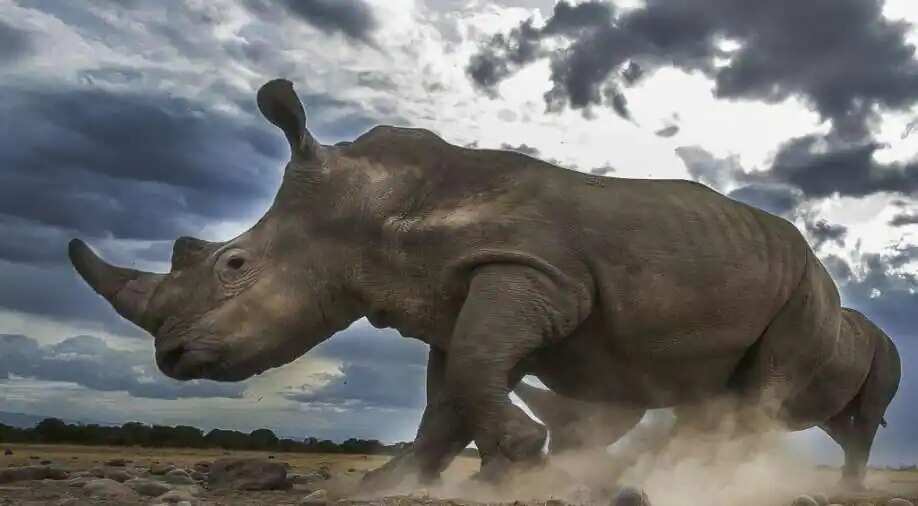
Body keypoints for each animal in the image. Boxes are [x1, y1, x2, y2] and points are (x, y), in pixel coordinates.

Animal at [69, 79, 899, 490]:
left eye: (233, 266)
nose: (170, 358)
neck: (369, 205)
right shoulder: (444, 298)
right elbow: (447, 396)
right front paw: (392, 484)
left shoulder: (534, 270)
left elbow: (473, 368)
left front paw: (524, 456)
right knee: (723, 394)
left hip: (811, 289)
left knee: (768, 394)